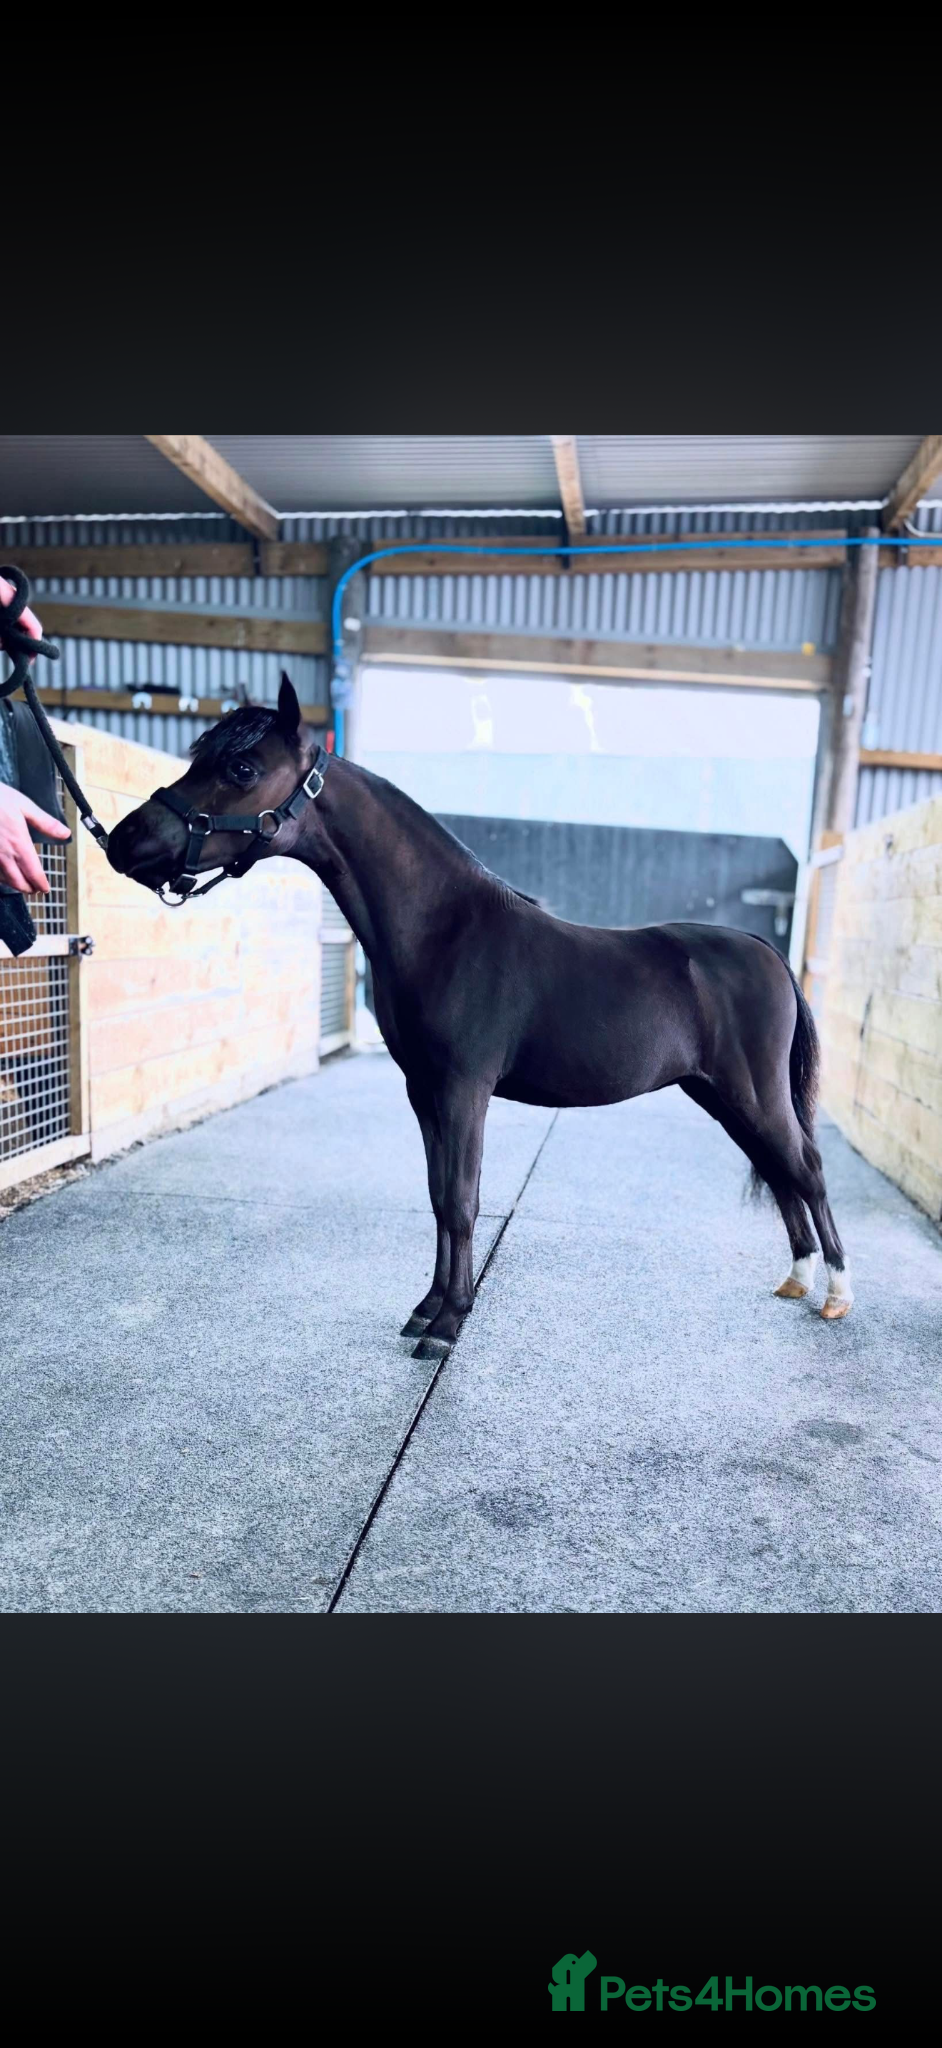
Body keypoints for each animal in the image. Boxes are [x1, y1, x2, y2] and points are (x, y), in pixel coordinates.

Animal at [106, 672, 852, 1357]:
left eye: (241, 768)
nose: (125, 841)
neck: (445, 930)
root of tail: (764, 949)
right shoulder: (425, 1091)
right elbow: (440, 1198)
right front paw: (426, 1308)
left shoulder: (465, 1089)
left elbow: (463, 1201)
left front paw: (449, 1324)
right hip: (722, 1097)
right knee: (779, 1171)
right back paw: (797, 1278)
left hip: (753, 1094)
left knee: (808, 1168)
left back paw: (837, 1294)